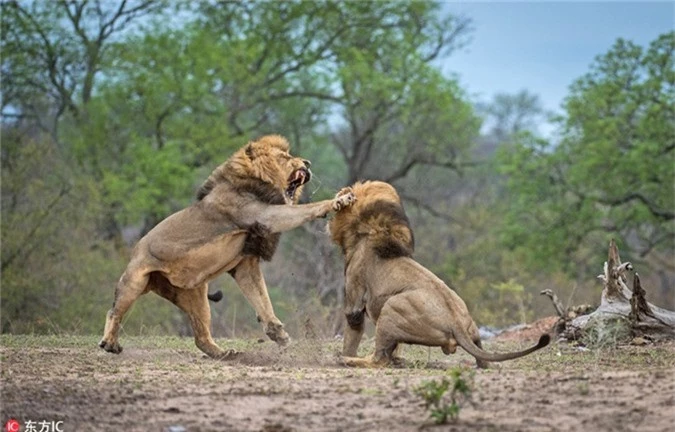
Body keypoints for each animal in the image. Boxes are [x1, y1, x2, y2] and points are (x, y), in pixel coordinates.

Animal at [99, 135, 360, 358]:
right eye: (286, 157)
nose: (307, 162)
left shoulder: (245, 264)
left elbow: (262, 299)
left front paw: (278, 334)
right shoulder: (266, 215)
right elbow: (307, 209)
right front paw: (339, 200)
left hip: (196, 296)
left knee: (201, 337)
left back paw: (224, 354)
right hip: (134, 279)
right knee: (114, 311)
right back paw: (109, 343)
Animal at [328, 181, 548, 366]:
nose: (340, 194)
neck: (366, 231)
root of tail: (458, 324)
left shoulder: (355, 298)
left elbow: (352, 330)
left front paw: (347, 353)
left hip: (392, 307)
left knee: (378, 360)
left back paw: (346, 360)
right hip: (472, 330)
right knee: (483, 360)